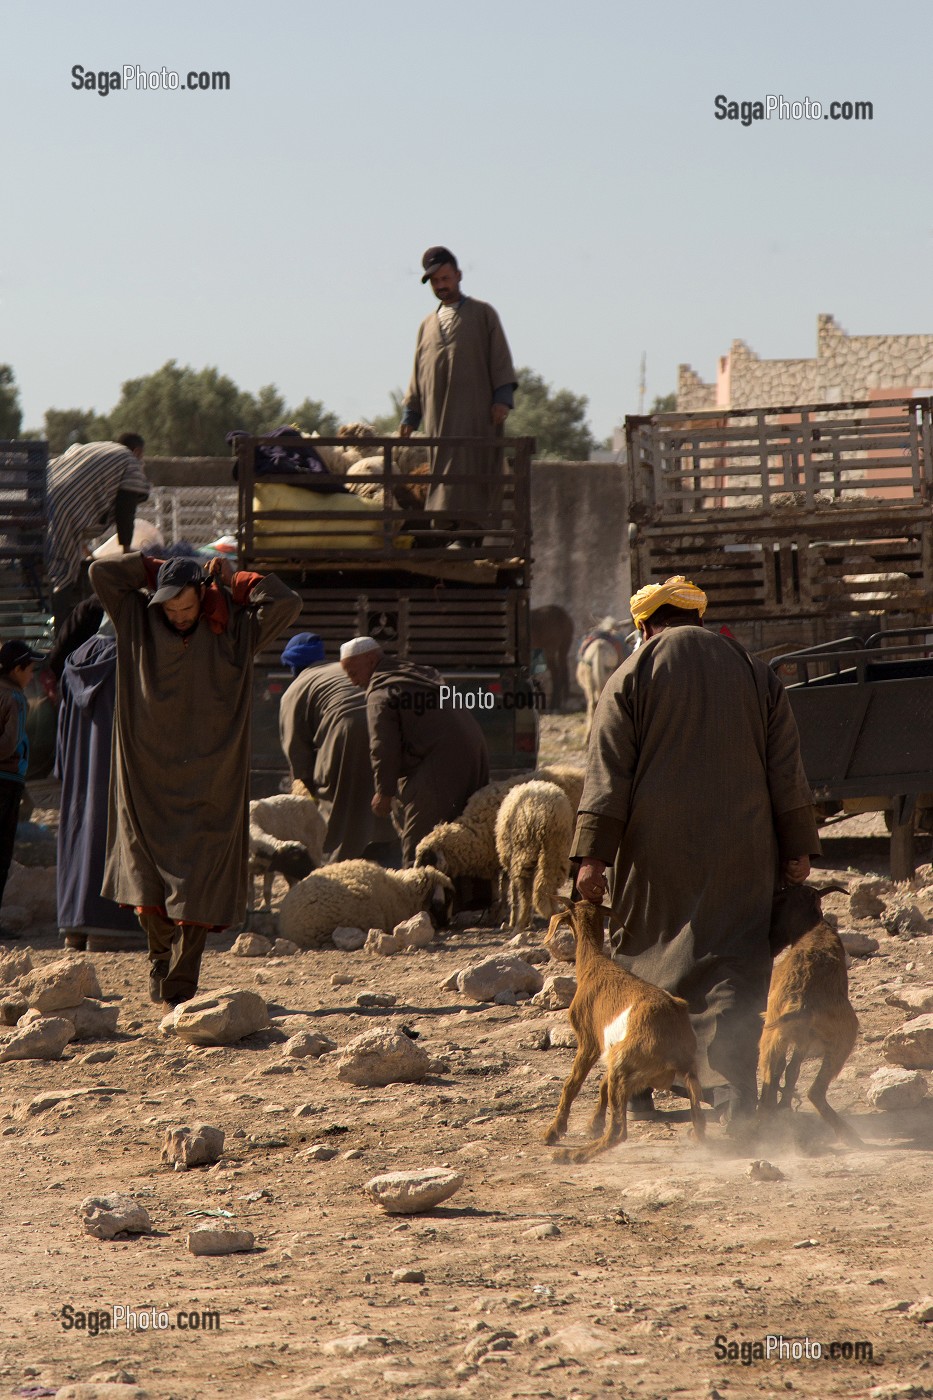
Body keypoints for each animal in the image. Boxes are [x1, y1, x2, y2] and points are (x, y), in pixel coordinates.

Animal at [490, 778, 571, 929]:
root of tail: (548, 815)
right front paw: (530, 922)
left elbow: (514, 892)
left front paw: (514, 921)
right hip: (557, 852)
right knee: (549, 886)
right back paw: (552, 914)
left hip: (524, 852)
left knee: (525, 894)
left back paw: (519, 925)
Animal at [540, 896, 700, 1159]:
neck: (593, 964)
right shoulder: (610, 1047)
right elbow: (602, 1085)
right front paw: (593, 1124)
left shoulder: (589, 1041)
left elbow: (572, 1084)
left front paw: (553, 1132)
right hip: (677, 1069)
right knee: (699, 1119)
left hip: (625, 1063)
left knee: (619, 1132)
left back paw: (572, 1156)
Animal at [756, 884, 857, 1148]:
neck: (814, 929)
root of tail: (801, 1001)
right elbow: (791, 1070)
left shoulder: (798, 1039)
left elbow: (790, 1070)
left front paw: (784, 1105)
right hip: (843, 1034)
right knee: (814, 1091)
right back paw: (848, 1133)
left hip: (773, 1037)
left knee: (772, 1079)